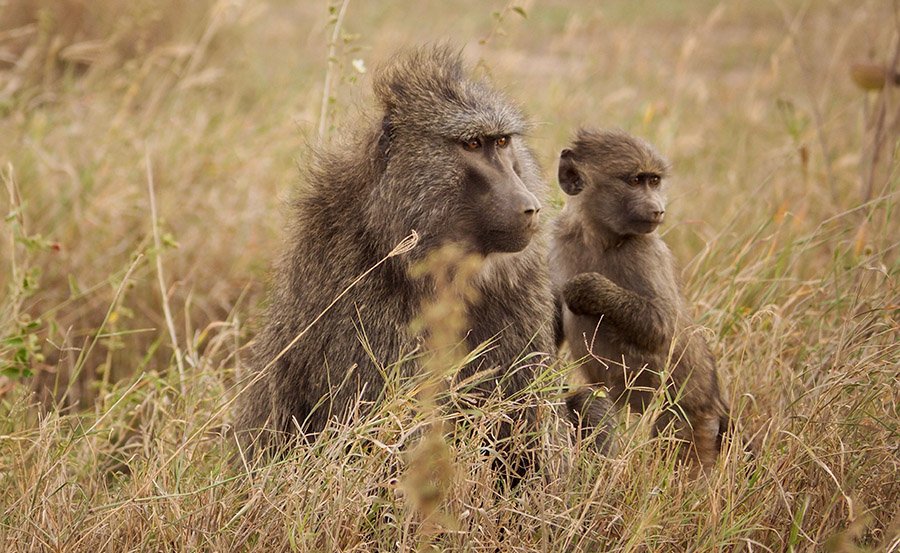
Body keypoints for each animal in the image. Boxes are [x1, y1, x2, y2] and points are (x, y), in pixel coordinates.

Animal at [550, 128, 731, 469]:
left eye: (654, 180)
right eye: (635, 180)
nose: (658, 209)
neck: (597, 237)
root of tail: (715, 403)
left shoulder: (645, 251)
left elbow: (660, 326)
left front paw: (584, 289)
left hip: (692, 425)